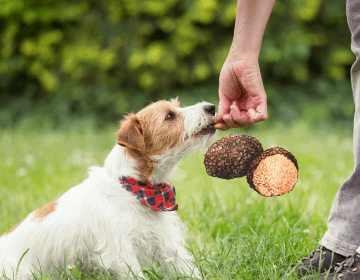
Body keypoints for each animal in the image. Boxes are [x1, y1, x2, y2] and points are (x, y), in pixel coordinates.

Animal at [0, 97, 217, 278]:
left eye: (177, 107)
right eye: (169, 115)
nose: (212, 107)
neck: (135, 189)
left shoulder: (167, 242)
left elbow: (185, 268)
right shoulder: (120, 252)